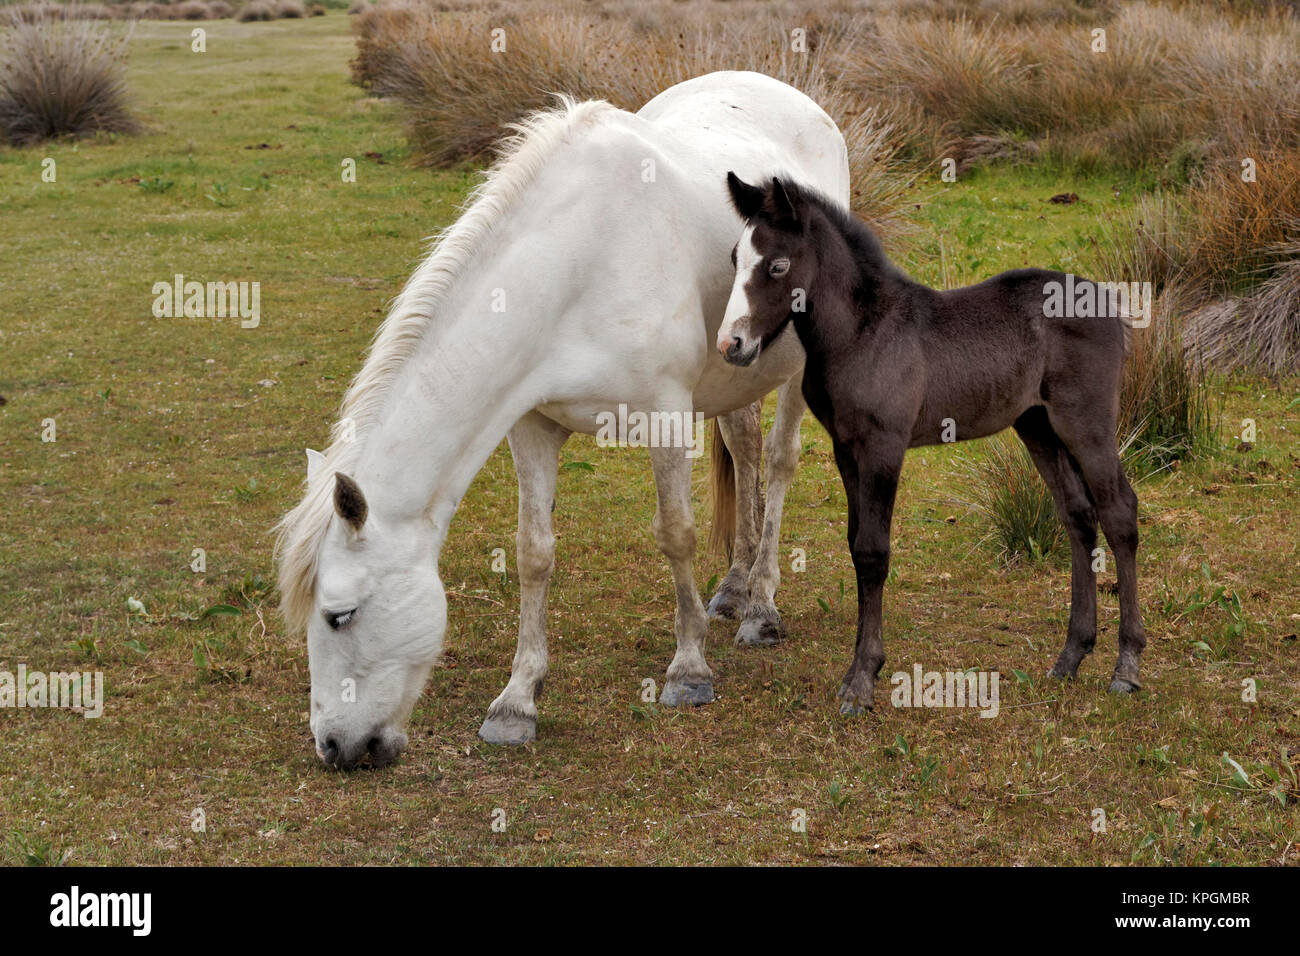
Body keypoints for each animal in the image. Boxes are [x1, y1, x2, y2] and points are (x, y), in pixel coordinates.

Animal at [271, 69, 852, 770]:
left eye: (340, 615)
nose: (333, 746)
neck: (578, 263)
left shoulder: (665, 418)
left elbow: (676, 535)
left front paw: (688, 671)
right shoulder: (532, 426)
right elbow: (534, 553)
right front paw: (516, 701)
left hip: (792, 369)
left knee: (779, 460)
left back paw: (761, 607)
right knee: (742, 452)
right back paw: (735, 588)